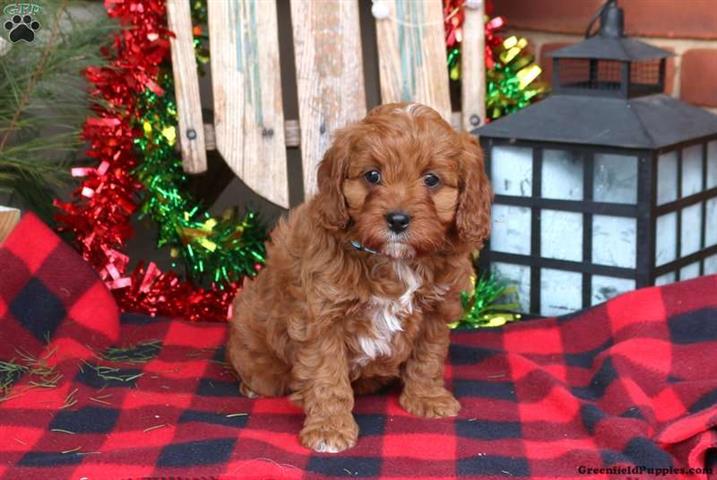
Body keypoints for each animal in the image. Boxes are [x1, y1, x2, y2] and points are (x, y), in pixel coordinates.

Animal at [228, 102, 492, 454]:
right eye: (373, 175)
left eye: (431, 179)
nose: (397, 220)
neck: (393, 261)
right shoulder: (321, 318)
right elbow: (327, 377)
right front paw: (329, 428)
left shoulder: (435, 311)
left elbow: (428, 358)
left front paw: (427, 398)